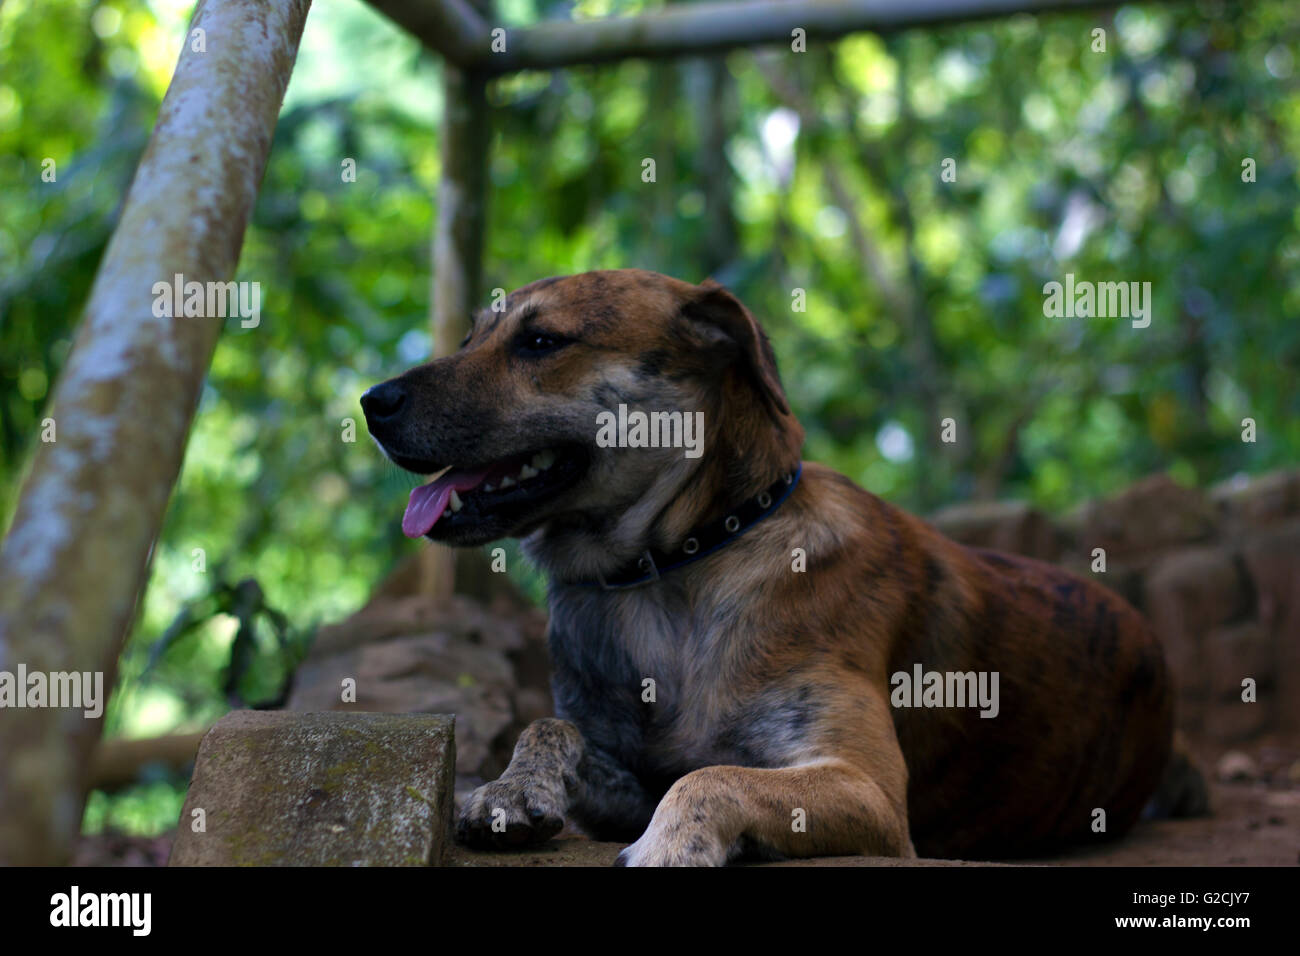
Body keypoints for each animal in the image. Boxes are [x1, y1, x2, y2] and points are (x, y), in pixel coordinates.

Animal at [361, 267, 1201, 868]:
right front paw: (505, 790)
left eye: (540, 343)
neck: (680, 562)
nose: (372, 401)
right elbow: (549, 726)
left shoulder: (867, 791)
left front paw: (671, 846)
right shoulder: (627, 774)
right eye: (471, 336)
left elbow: (712, 777)